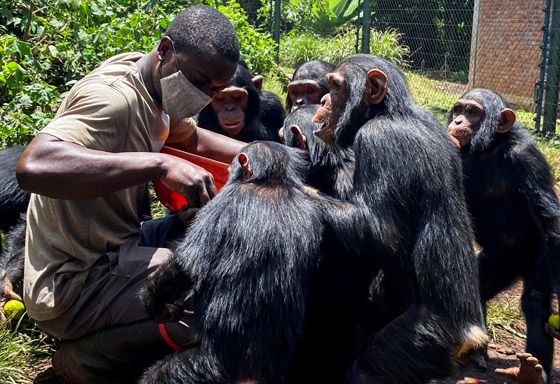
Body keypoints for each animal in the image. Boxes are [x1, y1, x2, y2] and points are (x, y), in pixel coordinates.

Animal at [139, 141, 374, 384]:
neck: (271, 183)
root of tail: (253, 376)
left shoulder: (223, 204)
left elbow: (185, 267)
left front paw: (154, 303)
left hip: (210, 368)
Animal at [312, 54, 488, 384]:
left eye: (336, 87)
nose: (324, 100)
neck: (387, 113)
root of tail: (471, 336)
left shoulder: (379, 142)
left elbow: (379, 230)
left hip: (422, 341)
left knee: (368, 369)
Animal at [448, 88, 560, 384]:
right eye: (458, 109)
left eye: (473, 112)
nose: (458, 122)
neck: (489, 149)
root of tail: (517, 265)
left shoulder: (527, 160)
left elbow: (550, 220)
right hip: (499, 263)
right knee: (477, 286)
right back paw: (477, 352)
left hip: (539, 257)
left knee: (535, 302)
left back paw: (533, 371)